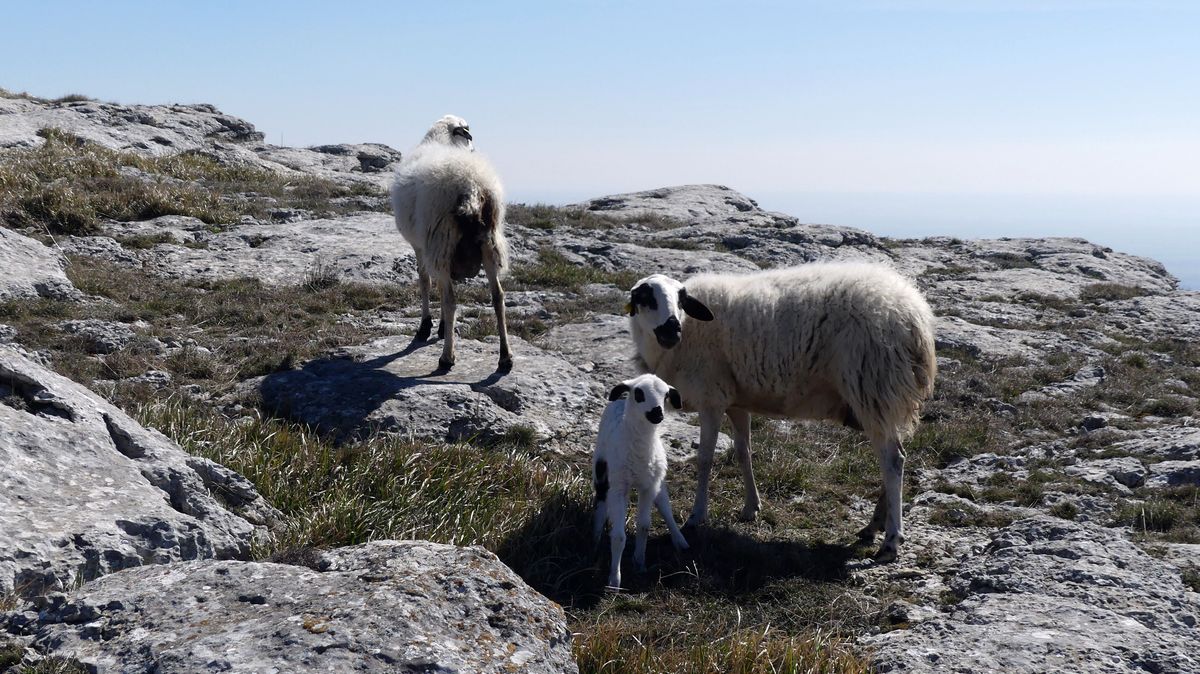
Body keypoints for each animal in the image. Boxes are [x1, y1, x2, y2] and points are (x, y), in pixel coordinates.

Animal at [389, 115, 512, 372]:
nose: (473, 148)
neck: (440, 140)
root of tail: (471, 187)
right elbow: (436, 283)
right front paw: (442, 327)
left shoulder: (420, 246)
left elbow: (425, 281)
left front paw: (426, 327)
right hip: (489, 243)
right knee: (498, 296)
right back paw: (505, 357)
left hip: (442, 241)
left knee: (451, 299)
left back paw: (447, 357)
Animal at [592, 373, 690, 589]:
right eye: (639, 393)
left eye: (666, 395)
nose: (657, 413)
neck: (639, 449)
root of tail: (619, 400)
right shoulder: (618, 487)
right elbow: (618, 536)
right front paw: (614, 580)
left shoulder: (649, 487)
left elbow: (644, 526)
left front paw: (639, 563)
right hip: (602, 469)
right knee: (601, 499)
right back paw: (595, 535)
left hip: (658, 481)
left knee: (665, 506)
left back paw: (680, 541)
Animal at [625, 263, 936, 562]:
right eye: (644, 298)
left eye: (681, 298)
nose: (671, 330)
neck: (687, 333)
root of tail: (915, 315)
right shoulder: (736, 401)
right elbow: (743, 452)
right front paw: (751, 507)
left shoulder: (711, 398)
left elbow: (705, 459)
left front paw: (696, 516)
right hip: (882, 398)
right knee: (894, 457)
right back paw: (873, 526)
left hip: (872, 387)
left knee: (893, 461)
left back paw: (890, 542)